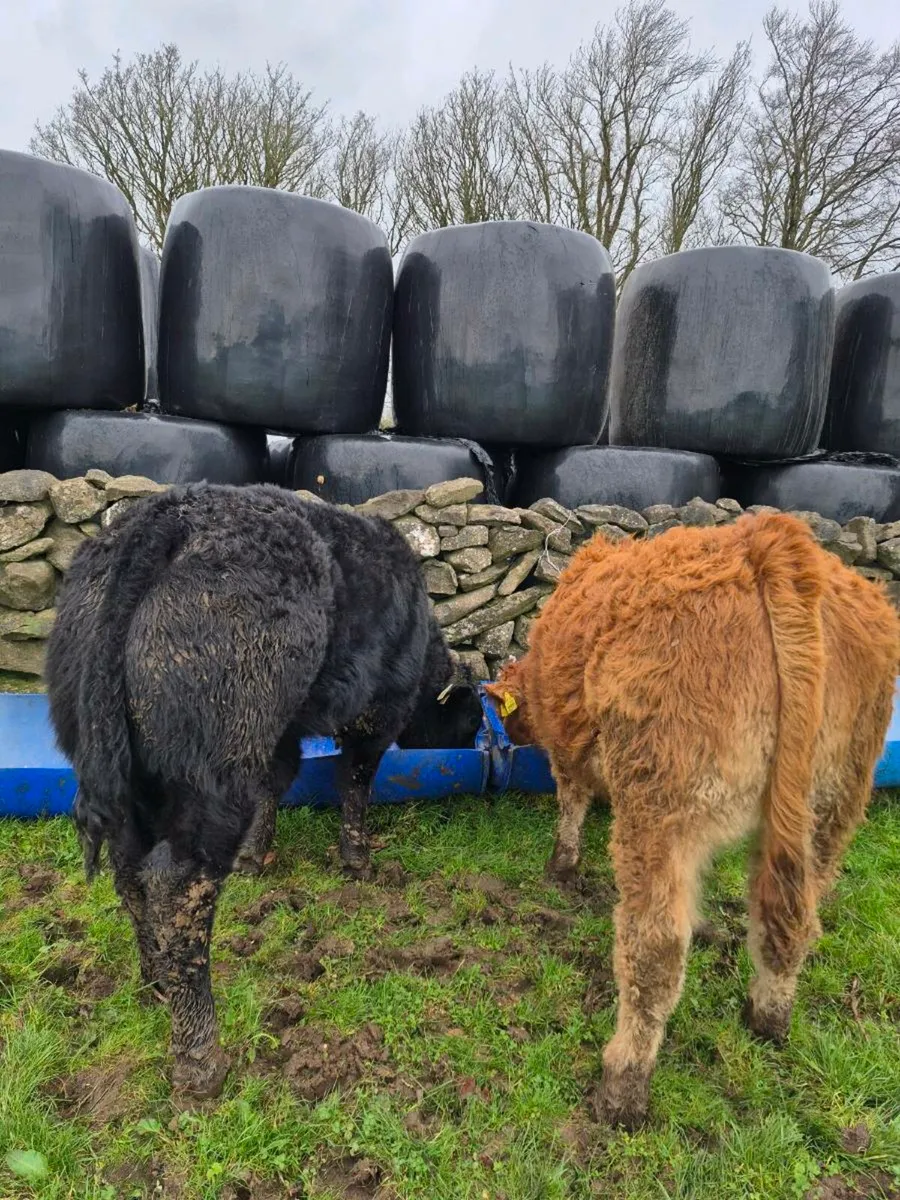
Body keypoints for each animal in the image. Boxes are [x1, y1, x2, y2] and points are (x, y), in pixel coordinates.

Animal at [45, 482, 483, 1098]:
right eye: (470, 716)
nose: (477, 737)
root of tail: (169, 514)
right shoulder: (374, 716)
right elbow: (354, 783)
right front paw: (358, 860)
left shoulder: (282, 732)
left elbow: (278, 781)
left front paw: (257, 853)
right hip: (210, 778)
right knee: (178, 889)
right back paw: (200, 1054)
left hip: (129, 781)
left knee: (130, 876)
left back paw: (157, 982)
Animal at [485, 512, 900, 1131]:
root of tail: (769, 539)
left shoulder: (570, 751)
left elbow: (571, 805)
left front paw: (560, 868)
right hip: (833, 807)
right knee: (791, 922)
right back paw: (766, 1019)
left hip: (660, 812)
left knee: (654, 952)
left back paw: (622, 1088)